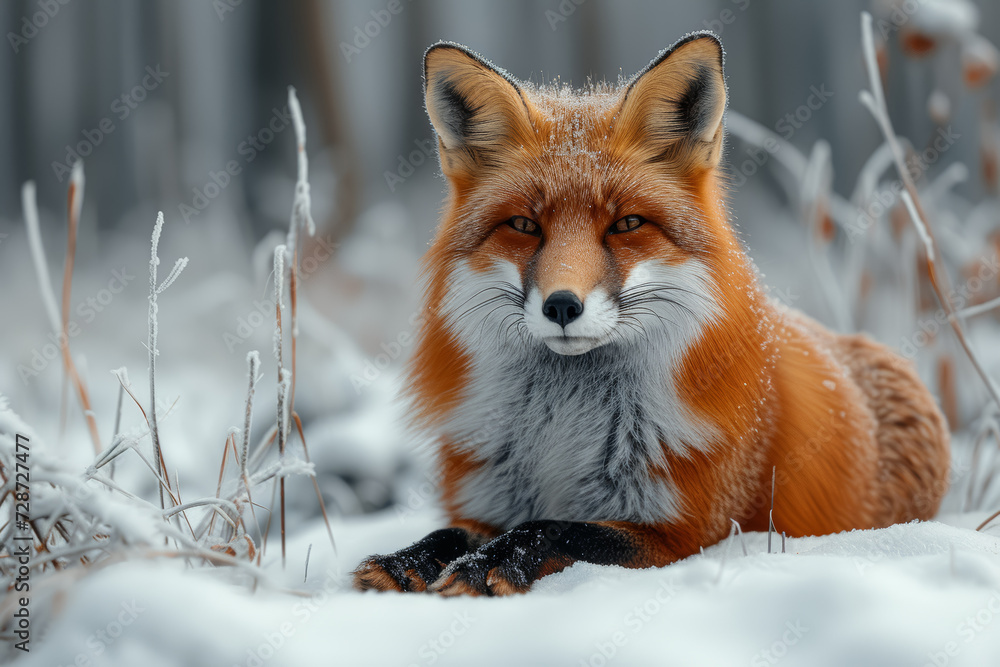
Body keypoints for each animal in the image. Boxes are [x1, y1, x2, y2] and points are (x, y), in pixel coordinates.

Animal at [353, 33, 950, 596]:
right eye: (524, 225)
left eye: (626, 224)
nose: (562, 304)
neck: (564, 429)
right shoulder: (486, 500)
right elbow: (448, 533)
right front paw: (405, 561)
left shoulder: (686, 535)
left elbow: (554, 529)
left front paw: (487, 566)